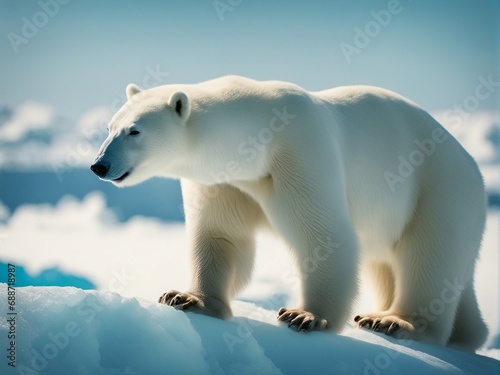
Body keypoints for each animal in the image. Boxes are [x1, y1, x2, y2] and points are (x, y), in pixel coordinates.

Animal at [91, 75, 488, 352]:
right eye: (109, 128)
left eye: (135, 131)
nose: (99, 165)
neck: (257, 131)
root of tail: (471, 166)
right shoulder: (226, 181)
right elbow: (222, 235)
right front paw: (189, 298)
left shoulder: (298, 152)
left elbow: (325, 233)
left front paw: (305, 315)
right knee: (393, 263)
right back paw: (465, 332)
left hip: (438, 189)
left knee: (429, 256)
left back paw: (396, 322)